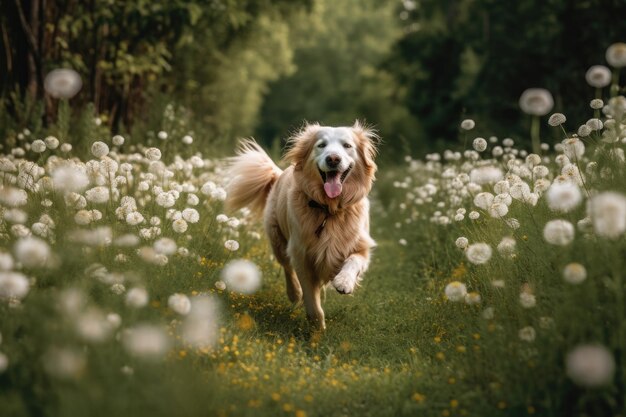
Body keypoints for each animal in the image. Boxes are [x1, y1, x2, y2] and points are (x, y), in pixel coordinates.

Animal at [227, 120, 378, 328]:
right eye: (321, 145)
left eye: (347, 145)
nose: (333, 159)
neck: (329, 209)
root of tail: (280, 174)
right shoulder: (302, 255)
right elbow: (312, 302)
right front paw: (317, 330)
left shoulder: (361, 246)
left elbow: (353, 260)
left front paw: (344, 282)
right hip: (278, 240)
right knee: (287, 267)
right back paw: (294, 293)